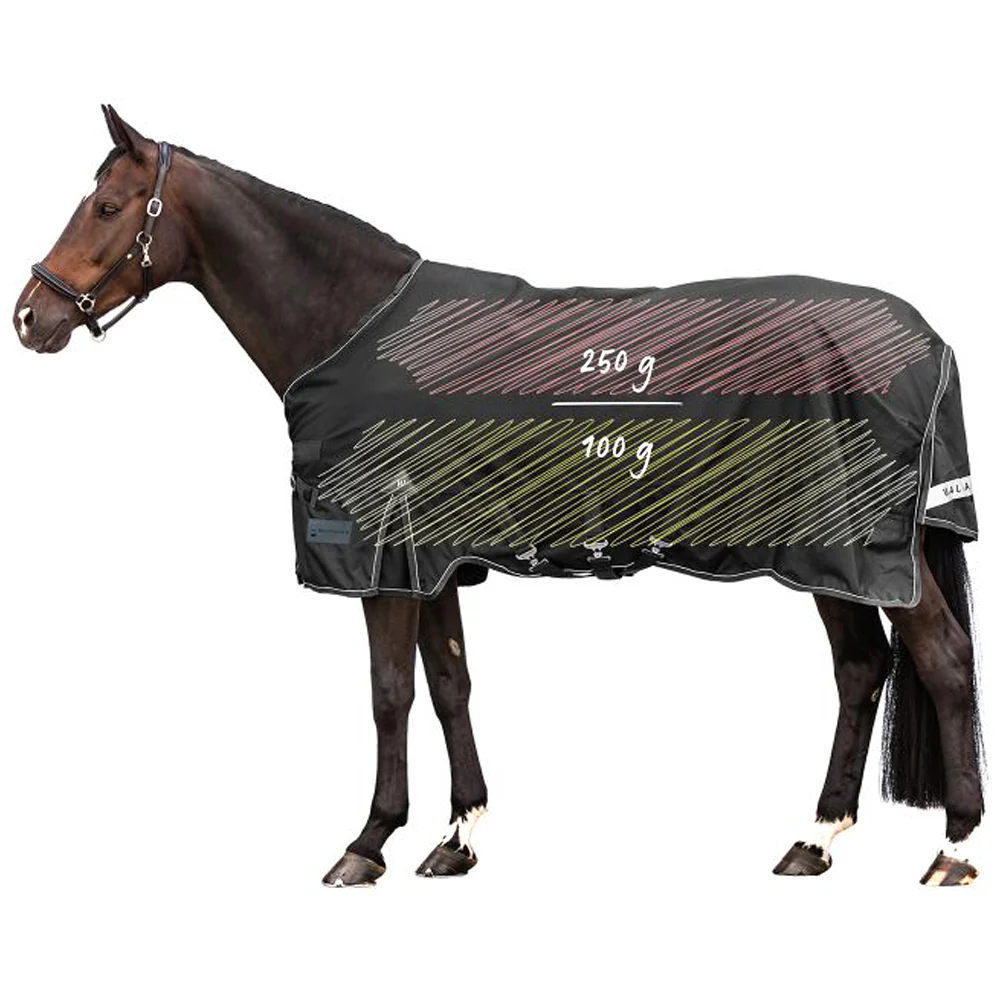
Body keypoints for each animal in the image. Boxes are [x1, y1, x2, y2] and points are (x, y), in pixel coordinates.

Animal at [13, 106, 985, 887]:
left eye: (106, 208)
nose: (30, 316)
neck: (353, 326)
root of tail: (929, 342)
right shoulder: (434, 561)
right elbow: (450, 685)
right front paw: (457, 838)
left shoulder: (381, 559)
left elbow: (389, 695)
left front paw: (367, 844)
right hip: (831, 557)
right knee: (860, 669)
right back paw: (814, 840)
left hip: (864, 549)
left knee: (940, 657)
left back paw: (954, 849)